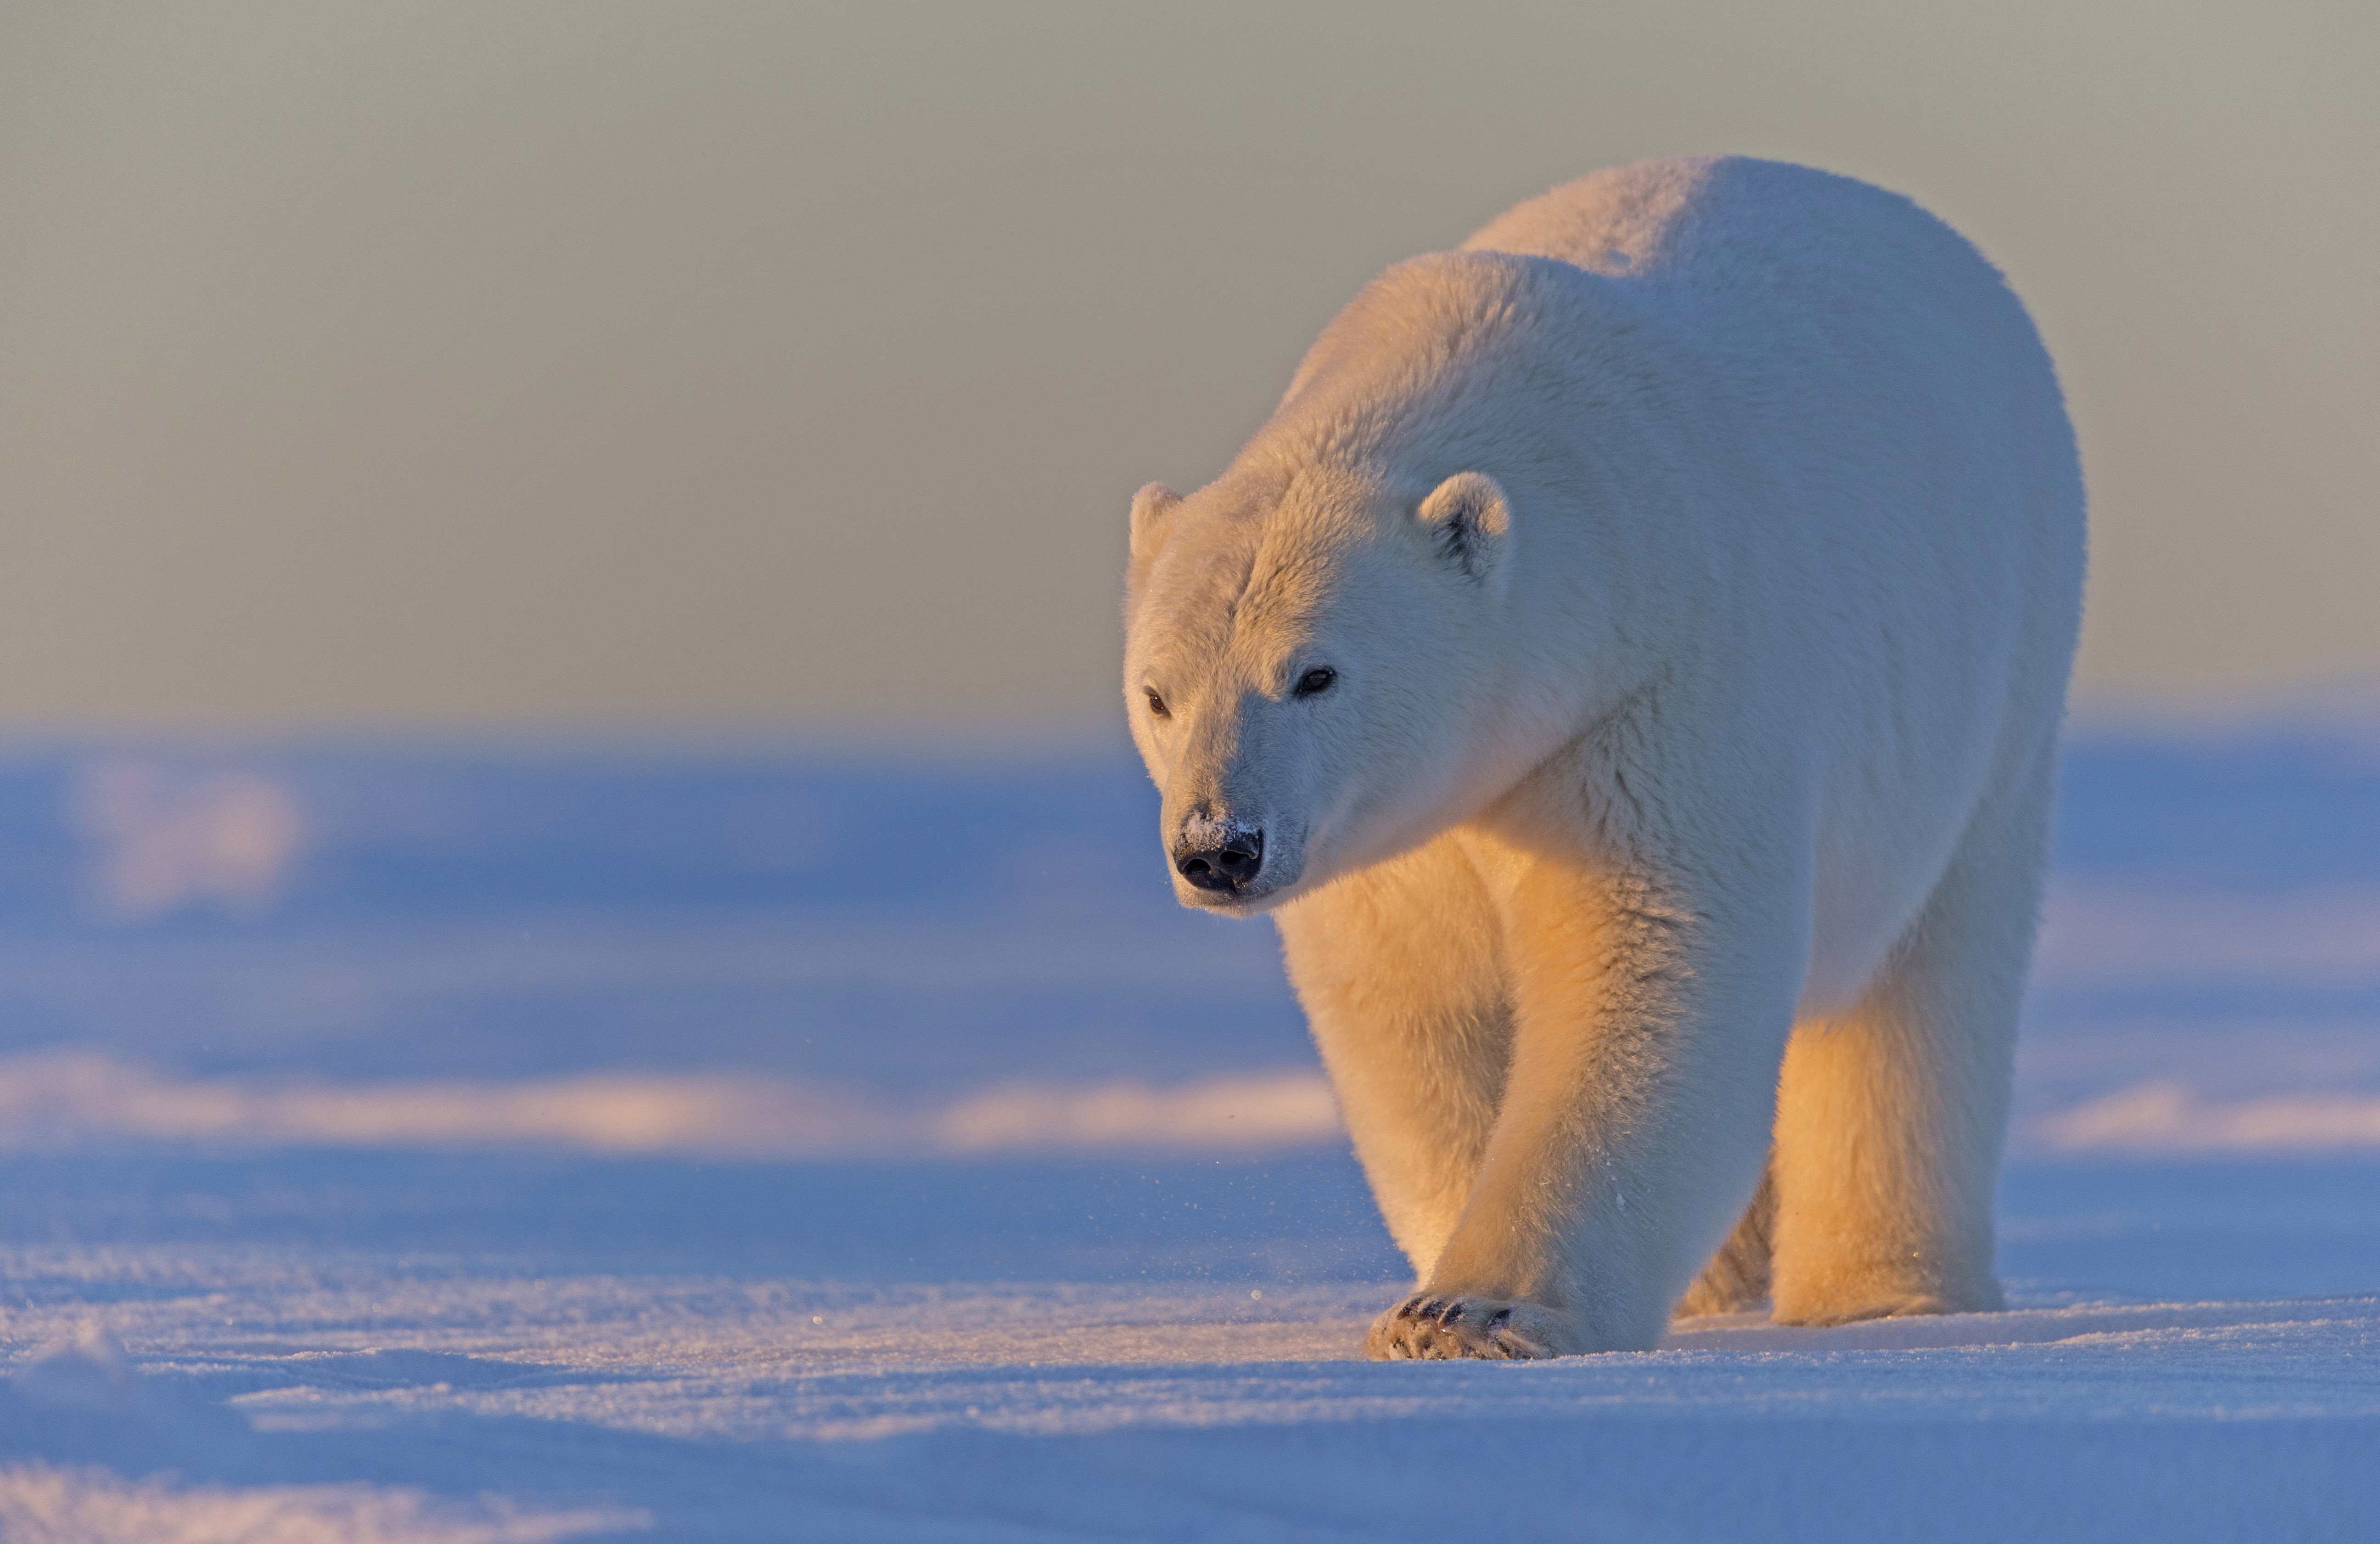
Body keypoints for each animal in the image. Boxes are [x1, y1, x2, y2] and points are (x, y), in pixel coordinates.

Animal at [1121, 157, 2084, 1359]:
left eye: (1314, 674)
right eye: (1159, 693)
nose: (1218, 847)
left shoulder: (1654, 692)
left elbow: (1642, 962)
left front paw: (1480, 1311)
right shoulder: (1389, 832)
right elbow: (1418, 1011)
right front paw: (1435, 1298)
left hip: (1998, 684)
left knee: (1919, 996)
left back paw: (1883, 1292)